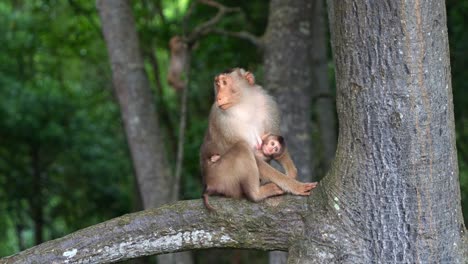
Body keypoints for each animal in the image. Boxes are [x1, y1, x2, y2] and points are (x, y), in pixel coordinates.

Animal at [199, 68, 316, 210]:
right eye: (218, 84)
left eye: (225, 83)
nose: (218, 97)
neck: (243, 105)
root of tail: (208, 184)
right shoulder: (221, 119)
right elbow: (256, 159)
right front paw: (295, 185)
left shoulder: (267, 104)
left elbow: (275, 135)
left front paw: (292, 173)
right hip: (220, 176)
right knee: (242, 148)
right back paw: (256, 194)